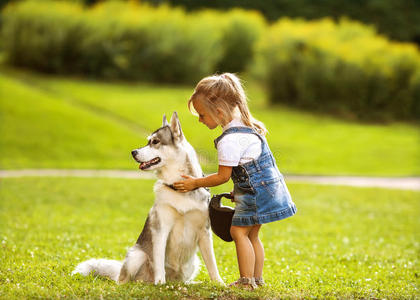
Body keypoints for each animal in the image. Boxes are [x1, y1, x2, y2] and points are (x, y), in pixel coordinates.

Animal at [73, 111, 223, 284]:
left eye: (155, 141)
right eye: (148, 141)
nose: (133, 152)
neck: (179, 188)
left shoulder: (204, 232)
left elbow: (212, 264)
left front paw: (219, 284)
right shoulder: (161, 229)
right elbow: (159, 261)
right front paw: (160, 283)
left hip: (193, 263)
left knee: (183, 279)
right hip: (136, 256)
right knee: (124, 279)